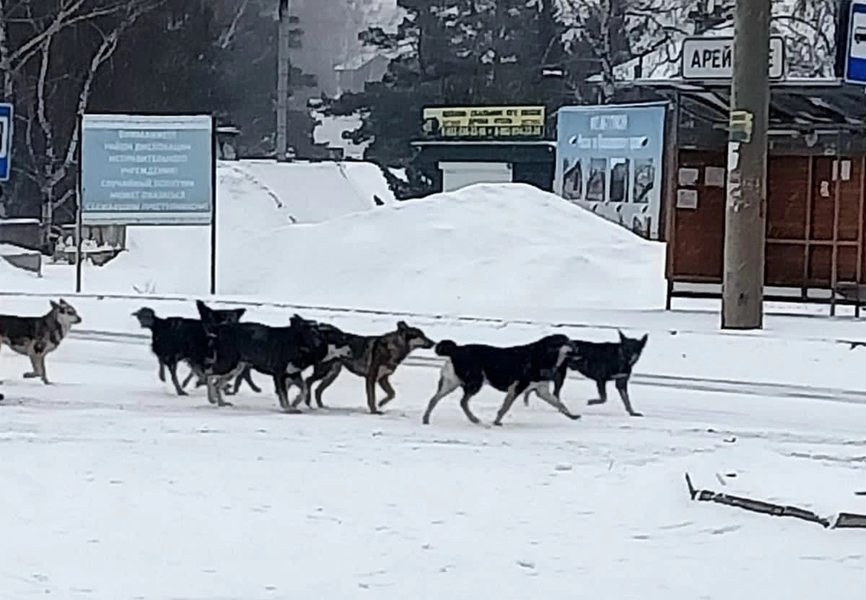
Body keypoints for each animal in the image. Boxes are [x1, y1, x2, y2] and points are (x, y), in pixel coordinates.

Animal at [198, 308, 352, 410]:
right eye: (342, 339)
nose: (351, 351)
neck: (302, 343)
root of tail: (221, 329)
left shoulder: (294, 374)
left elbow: (304, 390)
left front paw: (294, 403)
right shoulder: (279, 374)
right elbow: (284, 393)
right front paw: (287, 407)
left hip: (236, 368)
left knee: (217, 382)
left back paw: (221, 402)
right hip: (228, 363)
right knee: (209, 374)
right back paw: (212, 398)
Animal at [422, 332, 576, 426]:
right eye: (566, 341)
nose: (577, 347)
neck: (542, 356)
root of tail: (455, 350)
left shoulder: (542, 391)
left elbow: (560, 404)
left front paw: (573, 416)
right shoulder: (516, 388)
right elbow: (505, 408)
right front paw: (496, 422)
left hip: (451, 383)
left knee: (434, 399)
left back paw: (426, 419)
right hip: (474, 383)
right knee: (462, 402)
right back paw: (474, 419)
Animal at [520, 328, 648, 418]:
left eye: (635, 349)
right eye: (625, 349)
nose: (629, 357)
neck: (619, 359)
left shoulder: (621, 382)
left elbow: (626, 400)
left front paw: (632, 412)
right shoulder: (600, 379)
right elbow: (603, 398)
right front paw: (591, 402)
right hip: (559, 373)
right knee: (554, 392)